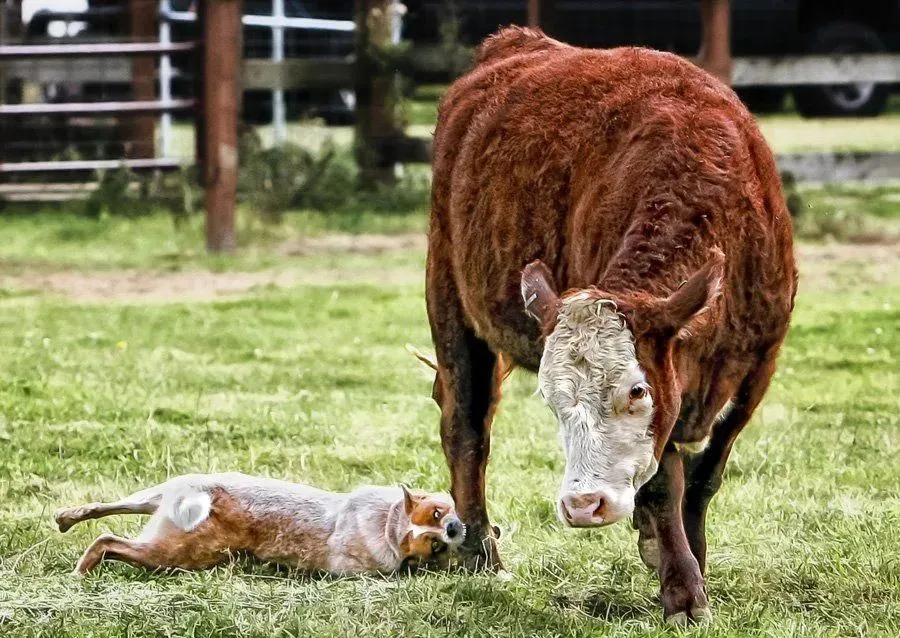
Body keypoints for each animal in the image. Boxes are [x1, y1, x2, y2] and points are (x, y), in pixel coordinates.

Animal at [55, 476, 464, 580]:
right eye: (436, 515)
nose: (455, 530)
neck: (390, 523)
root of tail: (203, 497)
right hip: (174, 555)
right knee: (108, 540)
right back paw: (81, 570)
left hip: (162, 495)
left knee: (107, 508)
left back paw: (68, 517)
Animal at [426, 27, 800, 628]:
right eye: (551, 401)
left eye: (636, 391)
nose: (583, 505)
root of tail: (517, 44)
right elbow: (665, 483)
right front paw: (682, 588)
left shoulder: (759, 363)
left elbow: (705, 474)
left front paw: (690, 556)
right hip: (450, 300)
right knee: (466, 425)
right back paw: (481, 552)